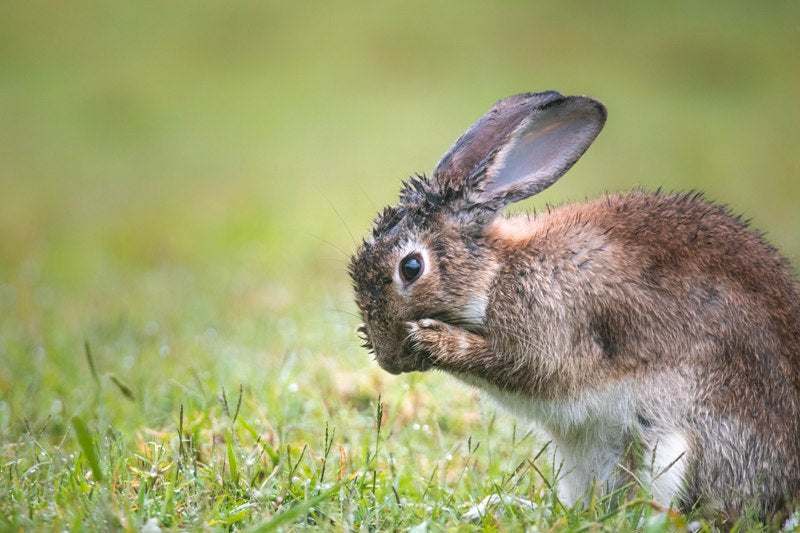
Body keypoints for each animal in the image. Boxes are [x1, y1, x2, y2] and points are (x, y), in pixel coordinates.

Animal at [348, 91, 800, 524]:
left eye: (411, 267)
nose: (389, 361)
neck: (496, 273)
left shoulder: (554, 331)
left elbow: (525, 367)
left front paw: (432, 338)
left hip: (673, 446)